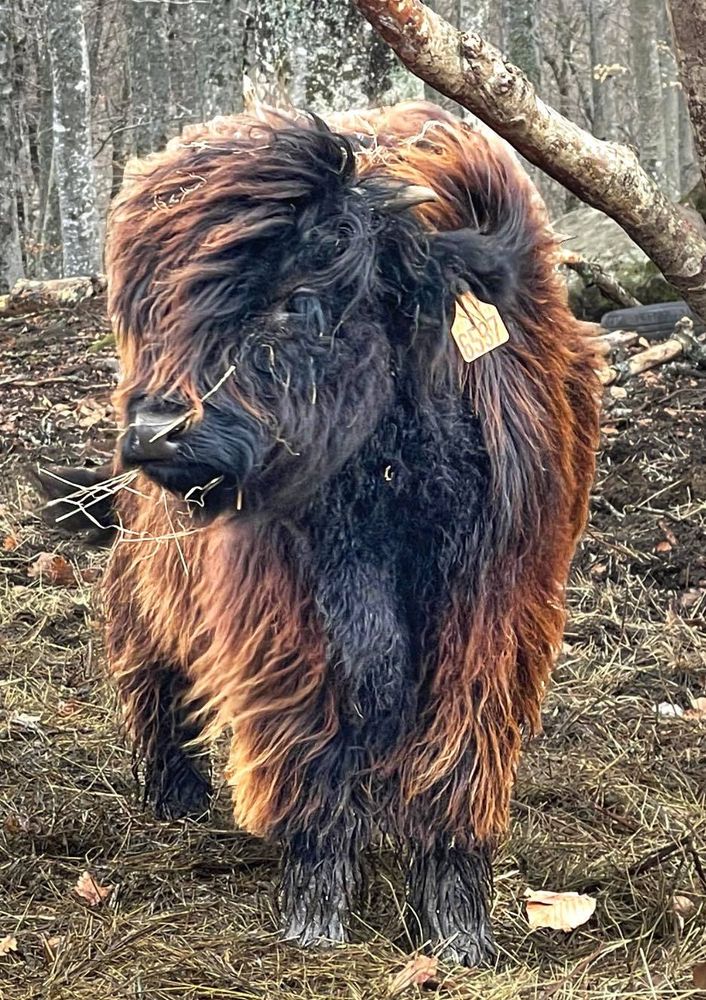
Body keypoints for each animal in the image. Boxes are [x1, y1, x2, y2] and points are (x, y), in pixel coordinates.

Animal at [57, 103, 596, 968]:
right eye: (154, 307)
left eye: (300, 298)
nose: (154, 431)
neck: (390, 472)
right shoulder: (285, 613)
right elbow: (317, 735)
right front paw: (315, 919)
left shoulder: (495, 606)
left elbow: (459, 754)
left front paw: (459, 931)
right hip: (151, 565)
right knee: (151, 665)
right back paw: (174, 793)